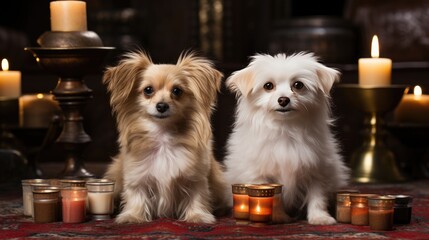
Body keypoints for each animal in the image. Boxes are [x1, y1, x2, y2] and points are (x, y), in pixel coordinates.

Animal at [103, 50, 227, 223]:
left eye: (177, 91)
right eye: (148, 90)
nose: (162, 106)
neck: (163, 136)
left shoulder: (195, 179)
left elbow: (197, 197)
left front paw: (197, 216)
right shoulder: (137, 178)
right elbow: (136, 197)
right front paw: (133, 216)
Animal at [222, 52, 350, 225]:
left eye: (298, 85)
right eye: (268, 86)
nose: (283, 100)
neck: (285, 128)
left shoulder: (318, 169)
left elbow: (317, 196)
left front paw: (320, 217)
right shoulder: (259, 175)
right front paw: (279, 217)